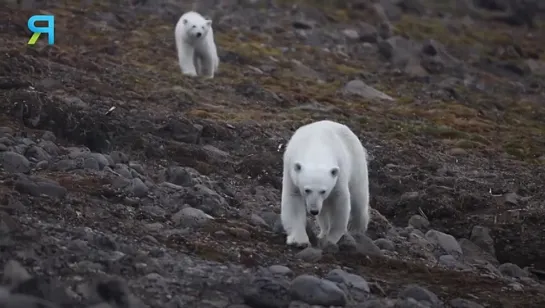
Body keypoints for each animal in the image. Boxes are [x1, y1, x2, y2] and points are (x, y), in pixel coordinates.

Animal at [280, 119, 370, 247]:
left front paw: (331, 239)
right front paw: (299, 240)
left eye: (323, 191)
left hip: (357, 163)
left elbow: (339, 201)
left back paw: (357, 229)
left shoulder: (339, 173)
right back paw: (323, 232)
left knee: (359, 198)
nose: (314, 210)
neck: (316, 147)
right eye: (307, 190)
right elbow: (293, 199)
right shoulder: (290, 169)